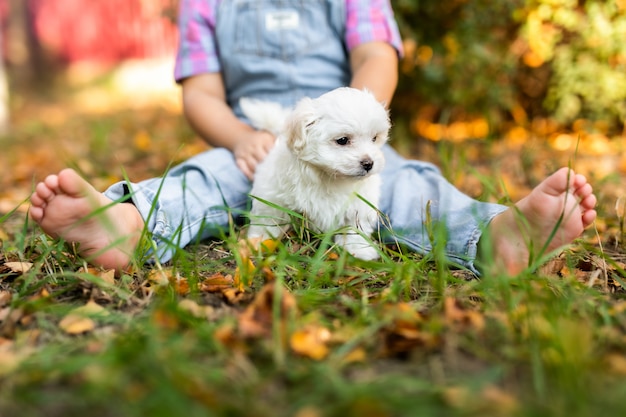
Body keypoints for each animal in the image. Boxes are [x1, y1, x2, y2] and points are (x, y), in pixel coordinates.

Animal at [241, 86, 388, 258]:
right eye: (343, 140)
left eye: (374, 139)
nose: (368, 163)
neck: (330, 177)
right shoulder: (272, 196)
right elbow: (267, 220)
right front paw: (259, 242)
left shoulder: (360, 205)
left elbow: (355, 228)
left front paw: (358, 250)